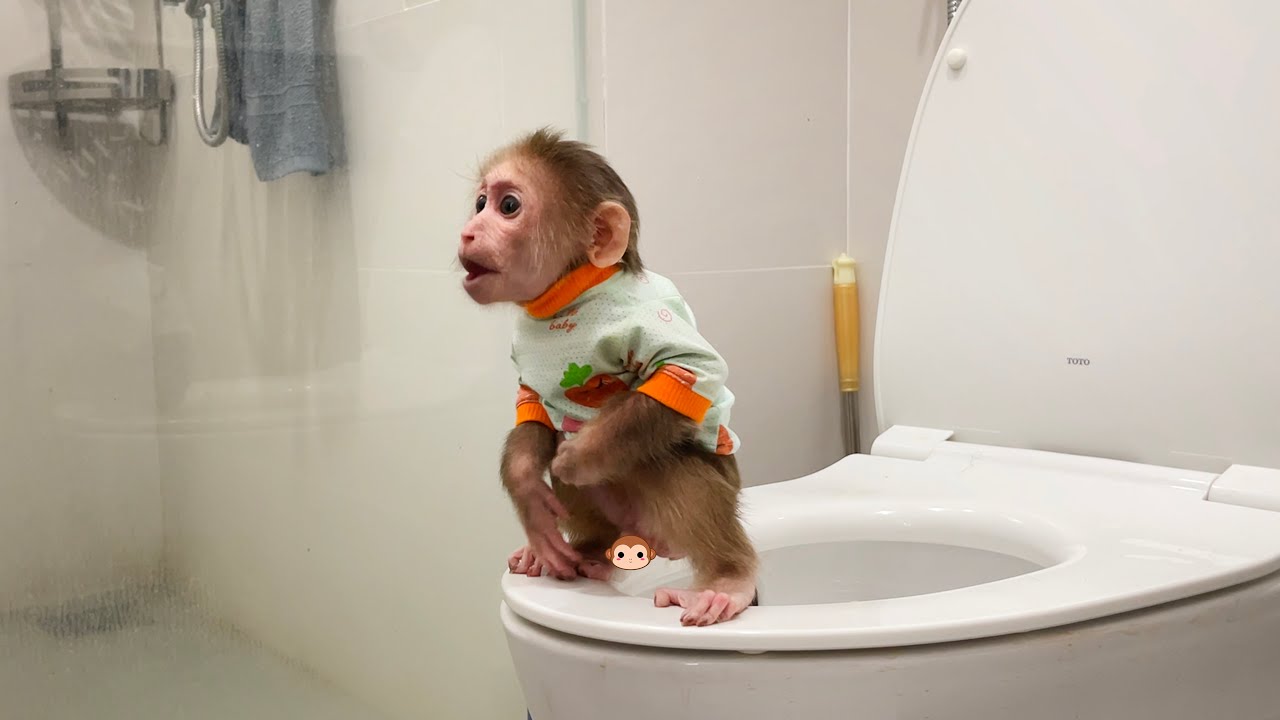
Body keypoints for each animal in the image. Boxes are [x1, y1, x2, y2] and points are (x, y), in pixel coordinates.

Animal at [458, 127, 758, 627]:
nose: (469, 230)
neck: (570, 294)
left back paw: (728, 579)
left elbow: (685, 372)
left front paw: (577, 458)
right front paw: (528, 491)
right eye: (480, 203)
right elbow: (532, 405)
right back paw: (589, 552)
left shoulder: (645, 315)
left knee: (667, 457)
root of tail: (653, 541)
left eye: (509, 206)